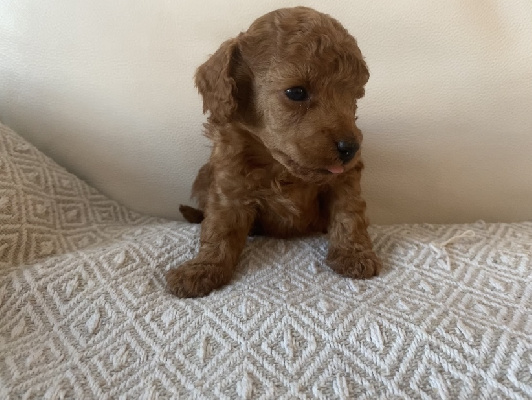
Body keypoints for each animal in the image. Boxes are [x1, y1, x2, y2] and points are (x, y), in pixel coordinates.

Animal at [166, 6, 381, 297]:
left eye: (354, 97)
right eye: (296, 92)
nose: (351, 148)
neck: (279, 166)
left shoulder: (344, 179)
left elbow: (349, 215)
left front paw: (354, 255)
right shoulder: (229, 187)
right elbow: (219, 230)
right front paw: (203, 269)